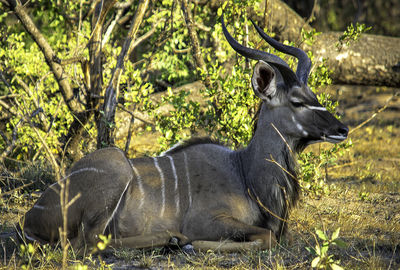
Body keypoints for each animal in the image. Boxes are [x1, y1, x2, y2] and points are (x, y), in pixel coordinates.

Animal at [20, 17, 348, 254]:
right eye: (297, 102)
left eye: (313, 95)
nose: (342, 129)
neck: (245, 173)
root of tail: (28, 221)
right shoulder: (207, 220)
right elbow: (266, 237)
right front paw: (191, 243)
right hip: (115, 169)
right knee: (87, 244)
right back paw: (171, 239)